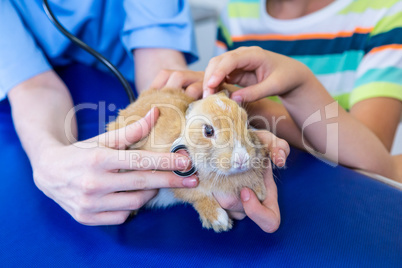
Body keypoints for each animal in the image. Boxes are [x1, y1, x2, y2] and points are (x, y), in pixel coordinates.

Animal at [108, 86, 268, 232]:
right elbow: (196, 195)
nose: (242, 158)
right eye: (208, 131)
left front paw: (260, 192)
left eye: (247, 123)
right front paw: (218, 221)